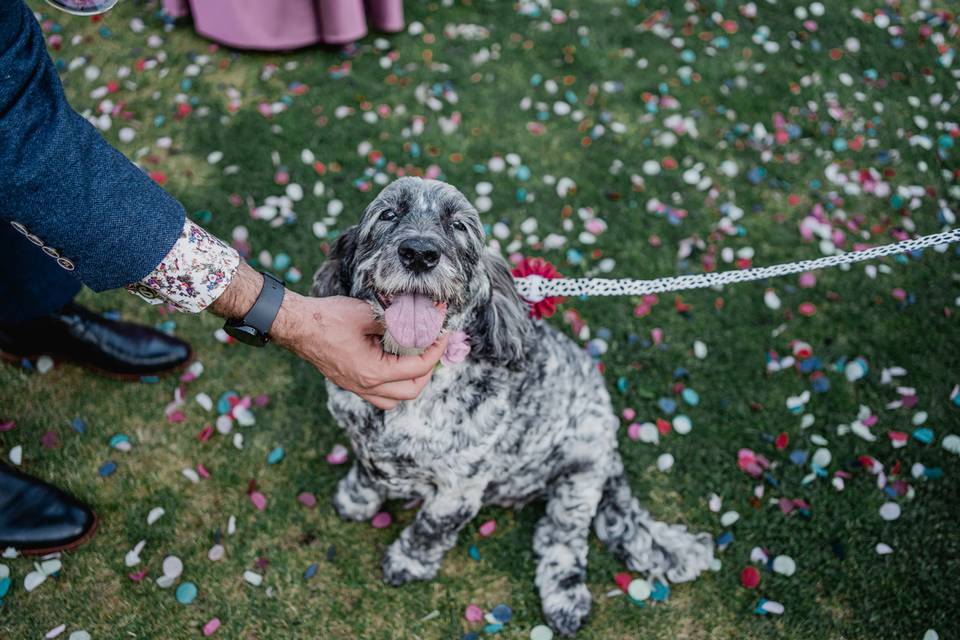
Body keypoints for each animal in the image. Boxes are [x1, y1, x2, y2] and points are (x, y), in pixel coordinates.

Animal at [314, 176, 712, 636]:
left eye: (459, 226)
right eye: (388, 214)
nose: (419, 253)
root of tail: (612, 444)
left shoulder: (460, 490)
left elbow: (430, 529)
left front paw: (408, 561)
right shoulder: (365, 442)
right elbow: (366, 471)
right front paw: (356, 499)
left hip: (580, 477)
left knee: (560, 541)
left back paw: (565, 599)